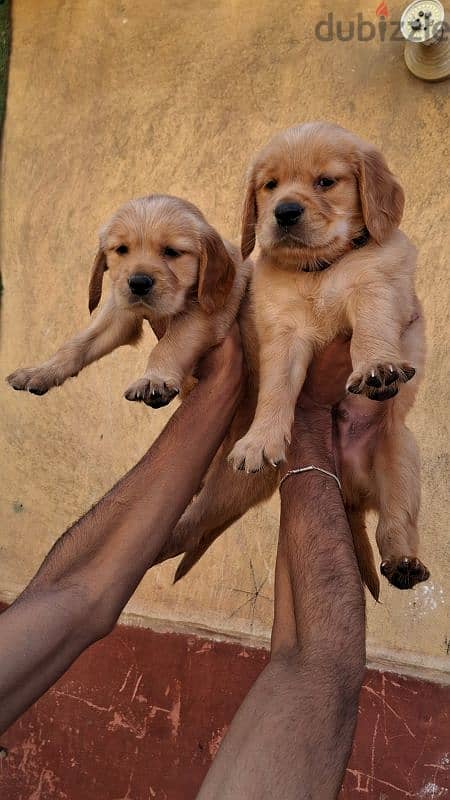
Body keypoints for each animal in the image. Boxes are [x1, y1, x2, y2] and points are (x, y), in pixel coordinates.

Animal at [6, 194, 250, 406]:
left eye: (172, 252)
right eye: (122, 249)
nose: (139, 283)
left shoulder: (204, 312)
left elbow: (170, 344)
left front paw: (153, 379)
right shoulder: (118, 311)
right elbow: (77, 344)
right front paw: (42, 371)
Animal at [225, 122, 428, 592]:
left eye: (325, 182)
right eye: (270, 185)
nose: (284, 212)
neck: (319, 268)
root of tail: (351, 491)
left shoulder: (374, 286)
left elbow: (371, 329)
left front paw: (376, 367)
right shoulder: (282, 331)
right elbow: (276, 390)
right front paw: (259, 440)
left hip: (402, 458)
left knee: (395, 523)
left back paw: (404, 562)